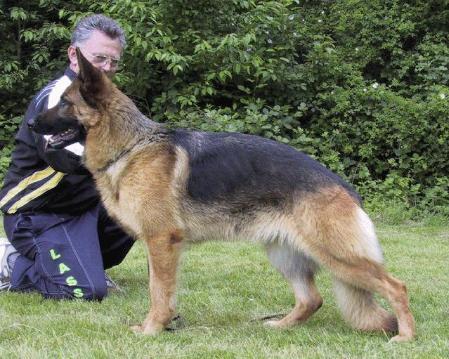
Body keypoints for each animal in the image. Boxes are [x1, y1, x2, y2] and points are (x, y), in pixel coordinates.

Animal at [29, 49, 414, 342]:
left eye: (64, 104)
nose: (30, 123)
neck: (130, 146)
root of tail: (345, 187)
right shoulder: (158, 245)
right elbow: (160, 290)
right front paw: (158, 325)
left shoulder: (161, 241)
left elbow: (158, 291)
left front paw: (153, 330)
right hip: (284, 253)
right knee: (312, 299)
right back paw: (281, 326)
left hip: (337, 256)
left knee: (397, 287)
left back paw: (405, 337)